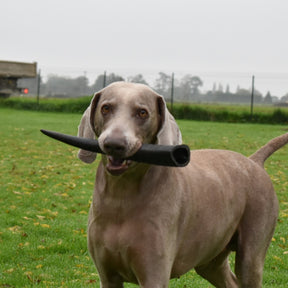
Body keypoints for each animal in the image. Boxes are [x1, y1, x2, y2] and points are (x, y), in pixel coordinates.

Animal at [77, 81, 288, 288]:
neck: (120, 197)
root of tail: (254, 161)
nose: (114, 144)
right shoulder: (108, 276)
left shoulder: (154, 275)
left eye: (142, 113)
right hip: (211, 259)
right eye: (106, 108)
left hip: (251, 253)